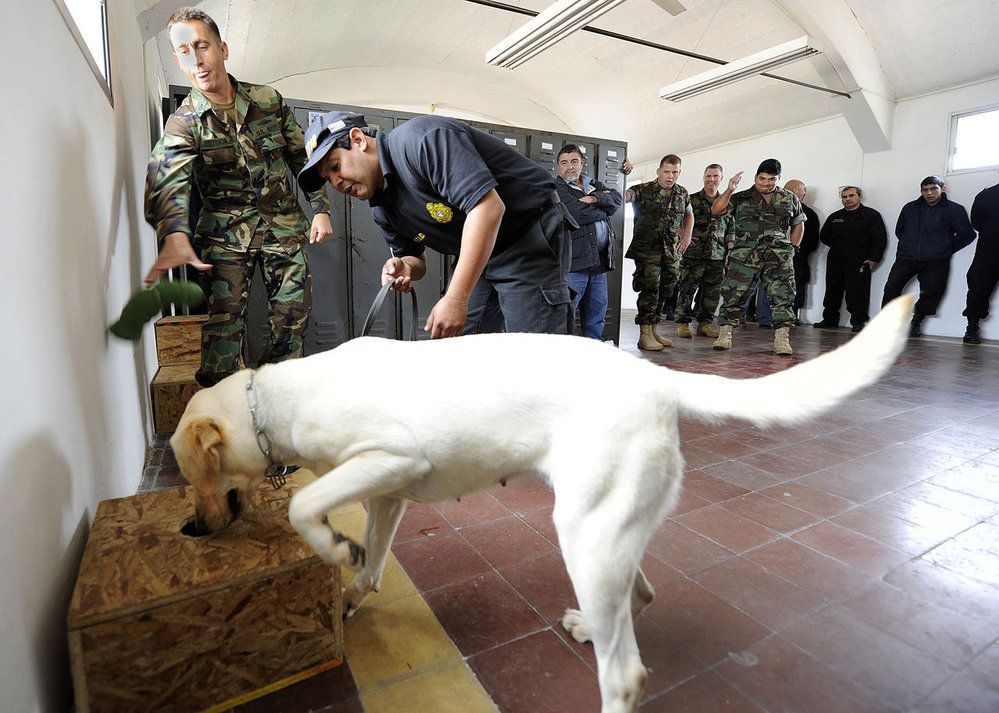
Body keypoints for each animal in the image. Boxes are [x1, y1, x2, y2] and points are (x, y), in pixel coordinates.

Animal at [170, 292, 916, 708]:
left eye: (185, 469)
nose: (192, 530)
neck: (276, 399)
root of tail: (657, 381)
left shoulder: (391, 457)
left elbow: (306, 508)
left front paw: (328, 544)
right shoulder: (387, 493)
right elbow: (373, 559)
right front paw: (350, 584)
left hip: (583, 533)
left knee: (625, 676)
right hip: (604, 529)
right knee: (638, 597)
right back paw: (588, 626)